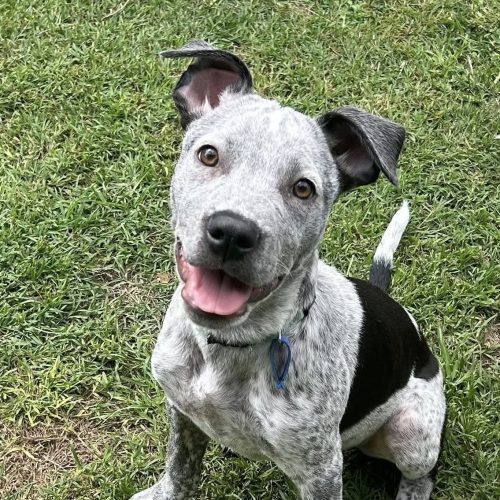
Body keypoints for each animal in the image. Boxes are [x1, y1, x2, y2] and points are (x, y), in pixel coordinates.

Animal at [131, 41, 446, 500]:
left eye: (303, 188)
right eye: (208, 155)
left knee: (422, 473)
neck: (229, 347)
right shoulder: (182, 409)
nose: (232, 232)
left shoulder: (321, 472)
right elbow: (181, 466)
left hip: (412, 432)